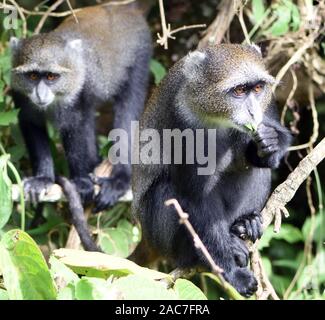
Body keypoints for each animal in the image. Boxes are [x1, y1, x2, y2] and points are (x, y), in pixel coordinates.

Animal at [10, 3, 151, 212]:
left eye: (51, 76)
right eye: (33, 76)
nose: (40, 95)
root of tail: (122, 7)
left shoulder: (78, 95)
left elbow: (75, 129)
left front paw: (81, 182)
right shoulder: (20, 96)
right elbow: (31, 124)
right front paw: (42, 179)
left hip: (140, 56)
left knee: (128, 109)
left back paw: (120, 179)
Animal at [132, 43, 292, 296]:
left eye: (257, 88)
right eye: (239, 91)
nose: (253, 113)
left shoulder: (265, 105)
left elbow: (263, 153)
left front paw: (271, 142)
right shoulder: (182, 123)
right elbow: (196, 198)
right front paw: (232, 274)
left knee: (256, 169)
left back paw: (244, 223)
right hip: (158, 234)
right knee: (166, 190)